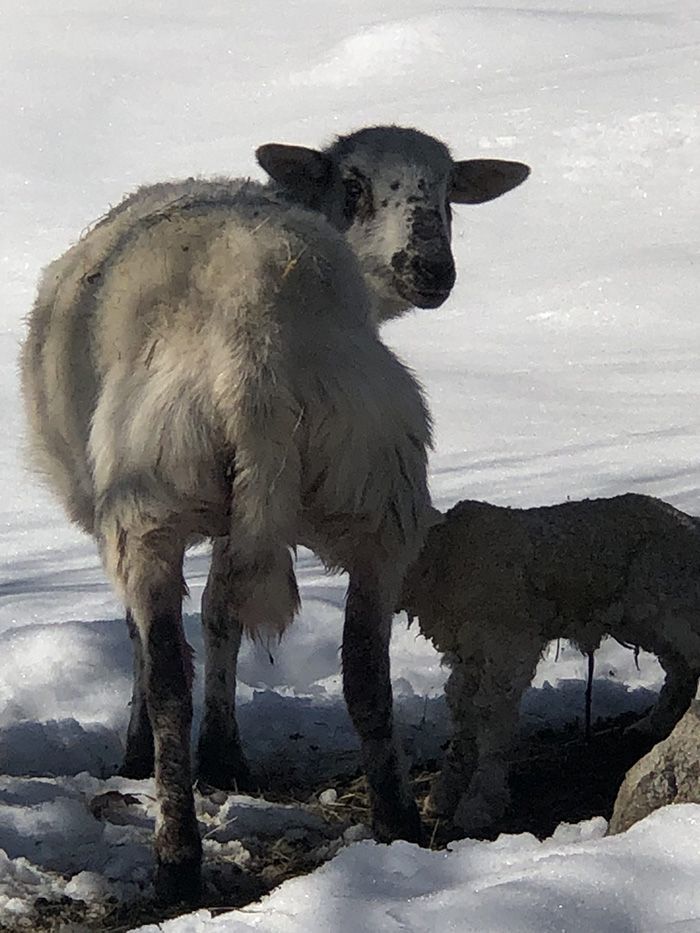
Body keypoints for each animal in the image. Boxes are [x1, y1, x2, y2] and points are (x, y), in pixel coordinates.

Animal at [20, 125, 529, 903]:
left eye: (448, 191)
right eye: (353, 185)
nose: (429, 268)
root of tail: (254, 345)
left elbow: (179, 631)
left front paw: (179, 753)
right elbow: (223, 616)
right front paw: (224, 752)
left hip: (147, 498)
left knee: (168, 678)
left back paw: (176, 854)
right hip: (377, 484)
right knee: (364, 671)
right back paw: (396, 823)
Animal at [399, 494, 700, 836]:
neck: (444, 555)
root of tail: (691, 525)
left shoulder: (509, 642)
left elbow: (490, 714)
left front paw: (480, 801)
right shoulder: (468, 651)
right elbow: (462, 711)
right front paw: (445, 794)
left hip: (668, 604)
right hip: (644, 619)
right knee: (679, 669)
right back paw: (652, 724)